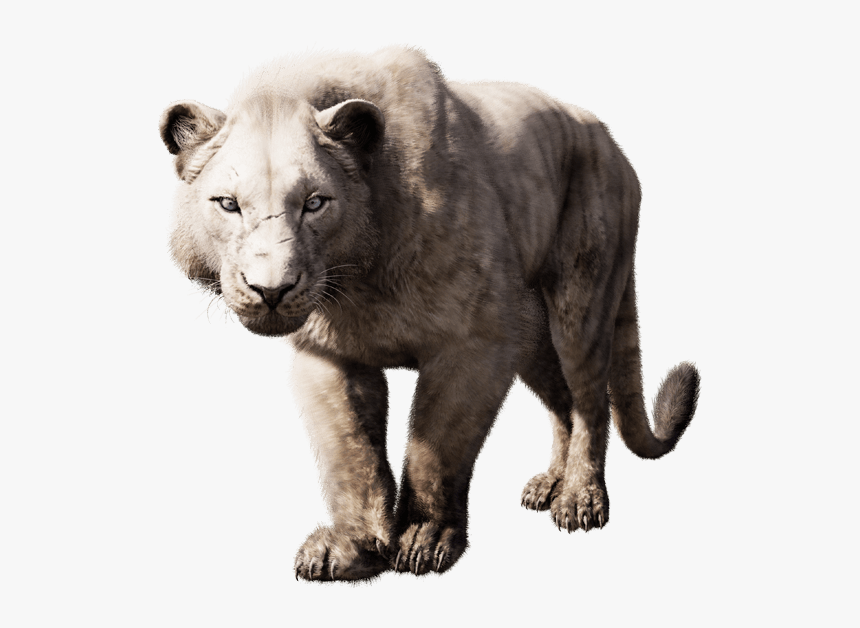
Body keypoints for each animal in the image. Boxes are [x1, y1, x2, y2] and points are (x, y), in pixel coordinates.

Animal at [159, 47, 700, 581]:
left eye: (314, 203)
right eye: (228, 204)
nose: (271, 290)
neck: (359, 278)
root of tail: (608, 141)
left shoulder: (476, 341)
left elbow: (435, 449)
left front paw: (425, 540)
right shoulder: (327, 354)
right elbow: (348, 454)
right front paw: (353, 548)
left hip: (579, 302)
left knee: (590, 400)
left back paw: (580, 500)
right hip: (531, 333)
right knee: (562, 400)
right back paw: (549, 483)